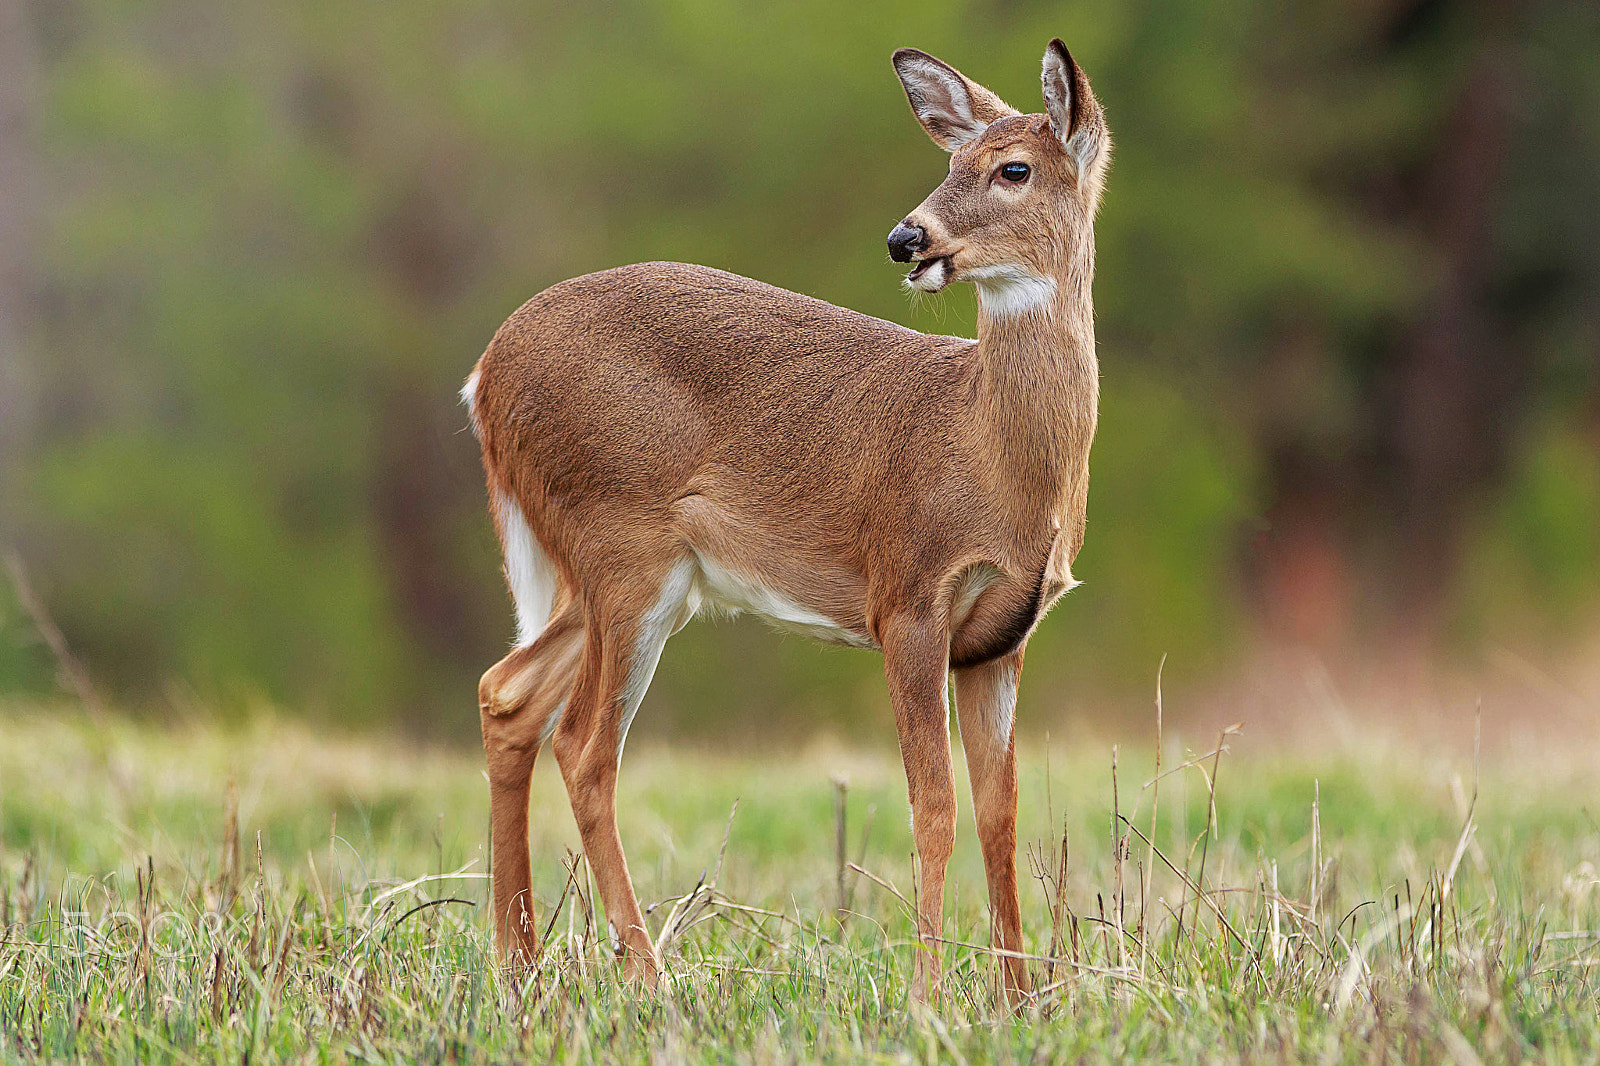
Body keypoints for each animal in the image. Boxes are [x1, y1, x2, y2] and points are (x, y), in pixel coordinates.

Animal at [464, 39, 1107, 1005]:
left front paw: (1023, 998)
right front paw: (928, 996)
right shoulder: (907, 596)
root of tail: (483, 376)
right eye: (950, 162)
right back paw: (648, 974)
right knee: (581, 745)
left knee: (507, 695)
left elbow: (1001, 810)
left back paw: (519, 965)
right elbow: (934, 806)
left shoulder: (1002, 635)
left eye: (1012, 169)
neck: (990, 456)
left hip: (609, 572)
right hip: (622, 546)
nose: (907, 239)